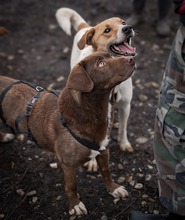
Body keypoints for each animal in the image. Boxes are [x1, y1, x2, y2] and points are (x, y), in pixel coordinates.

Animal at [0, 52, 136, 218]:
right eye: (101, 64)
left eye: (111, 56)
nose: (132, 58)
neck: (92, 111)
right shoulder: (68, 165)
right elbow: (72, 186)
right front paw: (74, 205)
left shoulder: (103, 150)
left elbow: (106, 172)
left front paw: (113, 188)